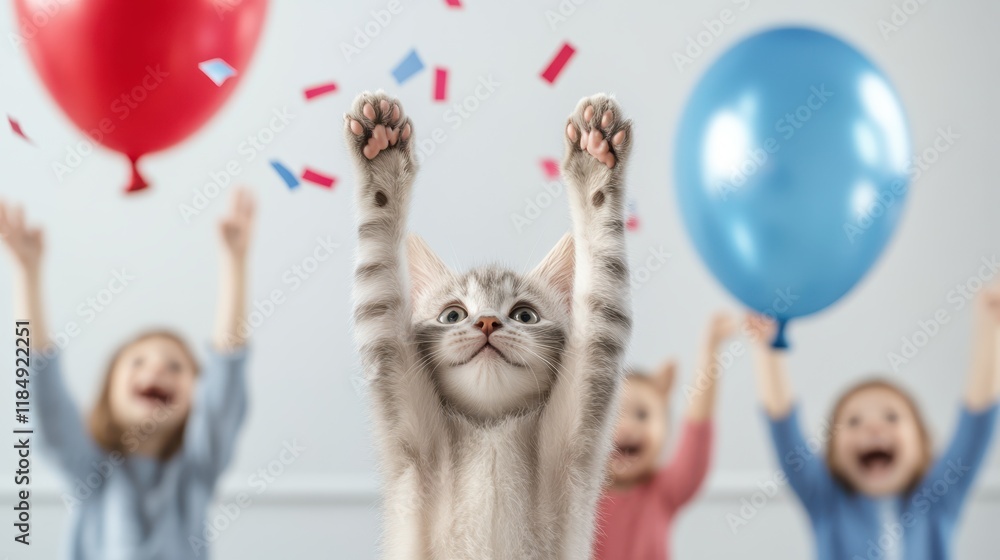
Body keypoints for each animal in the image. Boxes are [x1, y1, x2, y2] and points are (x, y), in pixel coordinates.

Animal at [346, 89, 632, 556]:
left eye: (524, 315)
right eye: (453, 314)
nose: (485, 323)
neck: (490, 430)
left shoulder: (576, 423)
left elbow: (602, 294)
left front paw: (596, 157)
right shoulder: (407, 421)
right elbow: (378, 282)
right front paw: (381, 149)